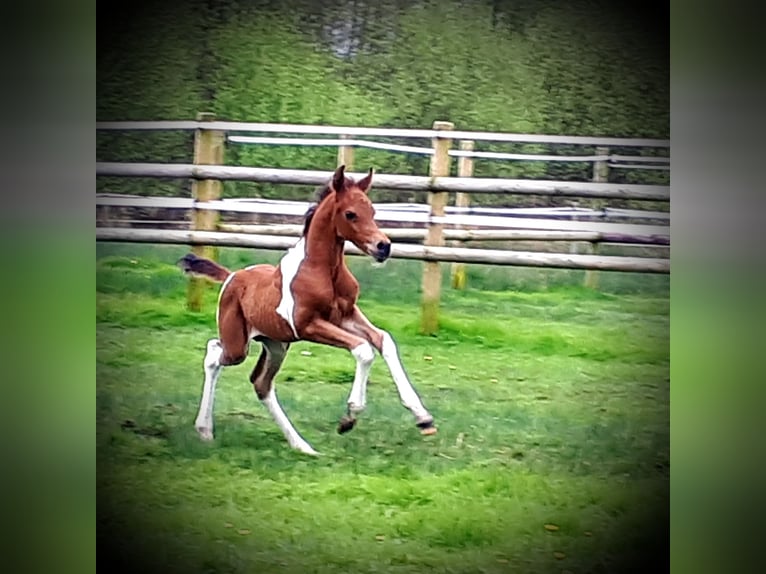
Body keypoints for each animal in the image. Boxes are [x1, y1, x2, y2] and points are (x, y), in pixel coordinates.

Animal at [177, 164, 436, 456]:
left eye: (373, 211)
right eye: (350, 214)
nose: (384, 246)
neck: (322, 270)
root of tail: (232, 277)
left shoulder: (347, 316)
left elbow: (384, 340)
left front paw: (423, 418)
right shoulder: (308, 325)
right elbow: (363, 349)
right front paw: (349, 416)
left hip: (276, 344)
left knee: (261, 384)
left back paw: (302, 446)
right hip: (237, 345)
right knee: (213, 354)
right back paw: (205, 430)